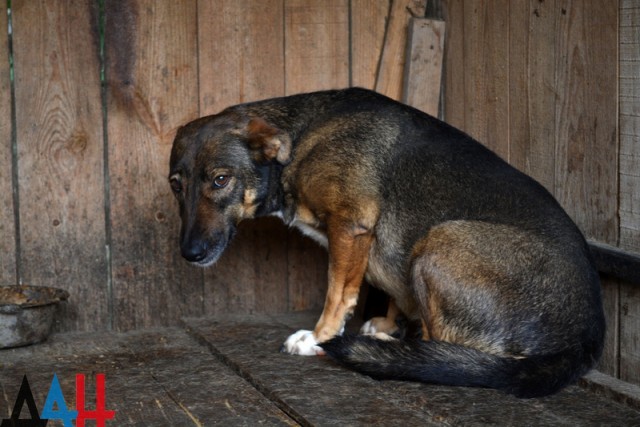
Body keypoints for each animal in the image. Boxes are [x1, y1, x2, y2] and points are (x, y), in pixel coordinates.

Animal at [169, 87, 604, 398]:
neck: (301, 141)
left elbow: (337, 294)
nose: (189, 254)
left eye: (221, 180)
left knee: (442, 345)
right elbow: (390, 290)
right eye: (176, 185)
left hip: (440, 241)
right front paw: (389, 322)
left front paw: (320, 338)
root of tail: (584, 339)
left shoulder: (350, 227)